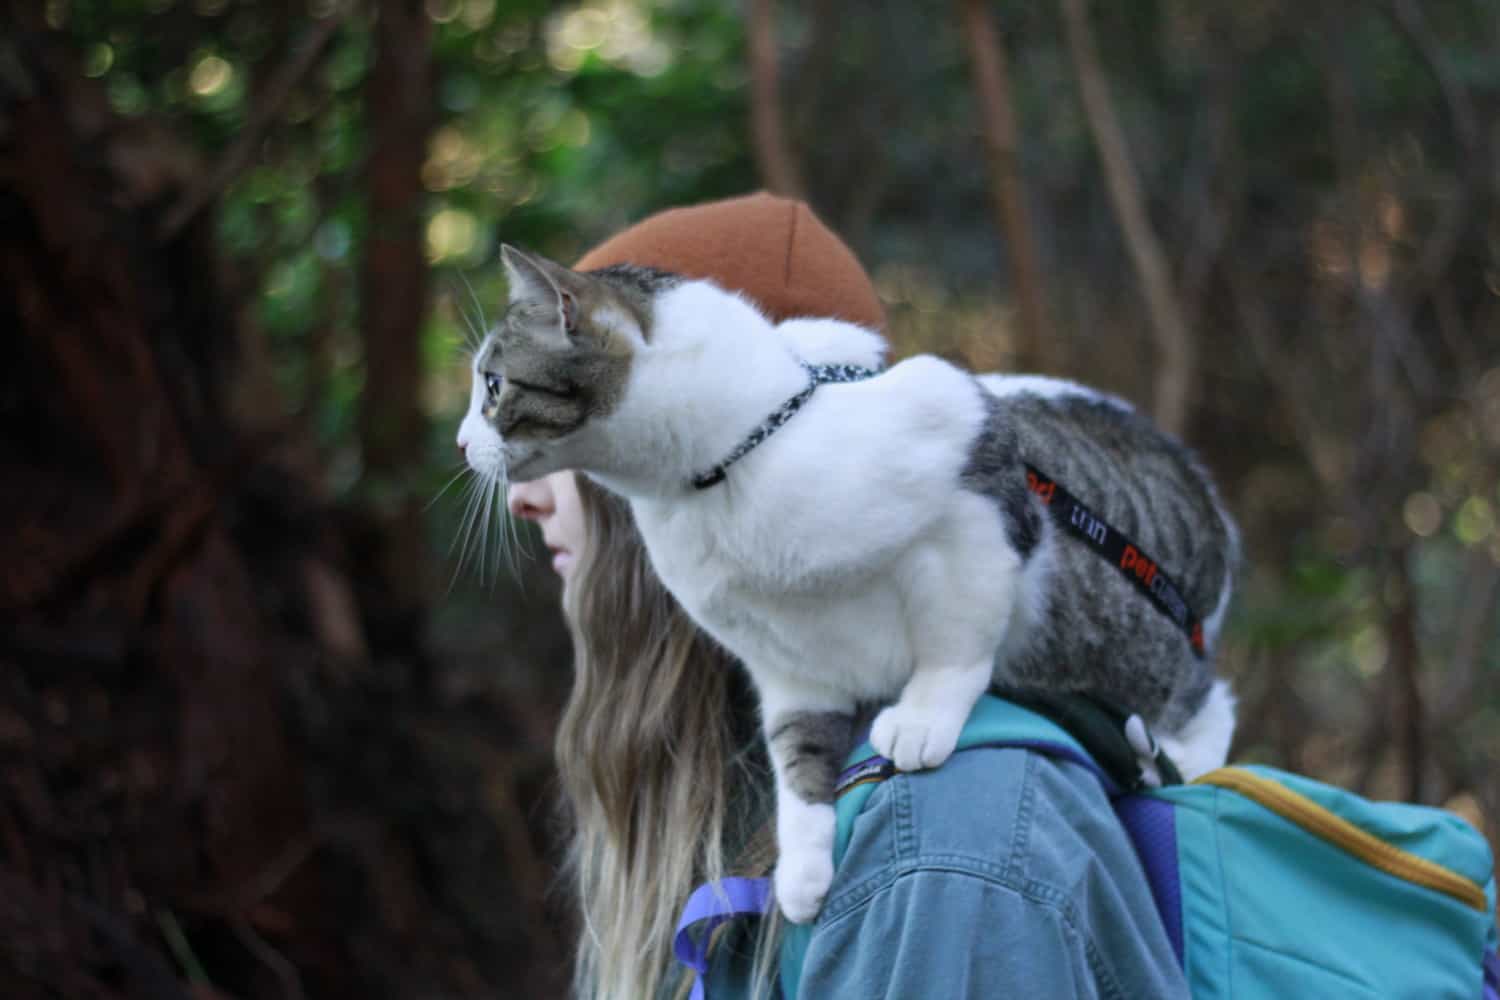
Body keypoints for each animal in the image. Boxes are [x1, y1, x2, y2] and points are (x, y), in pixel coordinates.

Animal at [456, 245, 1242, 929]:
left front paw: (920, 717)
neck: (732, 463)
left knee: (1205, 701)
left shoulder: (975, 488)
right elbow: (795, 754)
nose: (463, 444)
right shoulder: (783, 662)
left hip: (1131, 643)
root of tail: (1208, 504)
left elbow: (957, 639)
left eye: (493, 387)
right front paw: (802, 867)